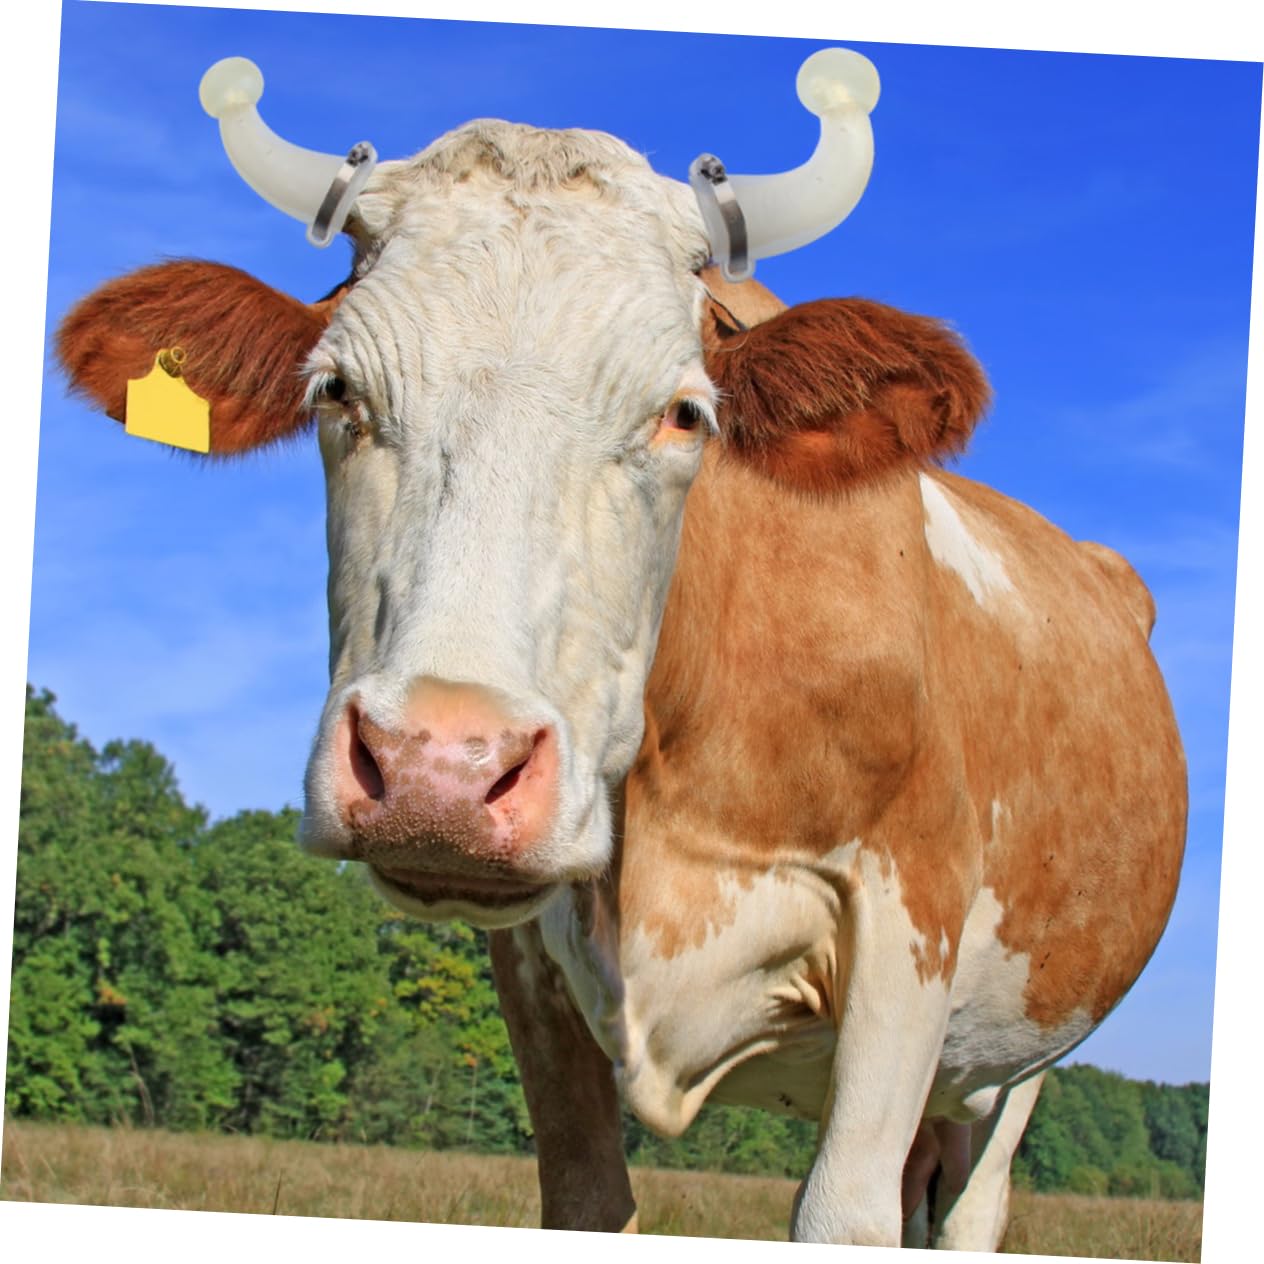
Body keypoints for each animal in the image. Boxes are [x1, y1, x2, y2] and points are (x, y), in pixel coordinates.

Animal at [56, 94, 1187, 1250]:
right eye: (335, 391)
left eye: (684, 413)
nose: (438, 771)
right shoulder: (527, 959)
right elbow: (586, 1193)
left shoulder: (909, 919)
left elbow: (843, 1214)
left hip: (1014, 1062)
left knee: (969, 1205)